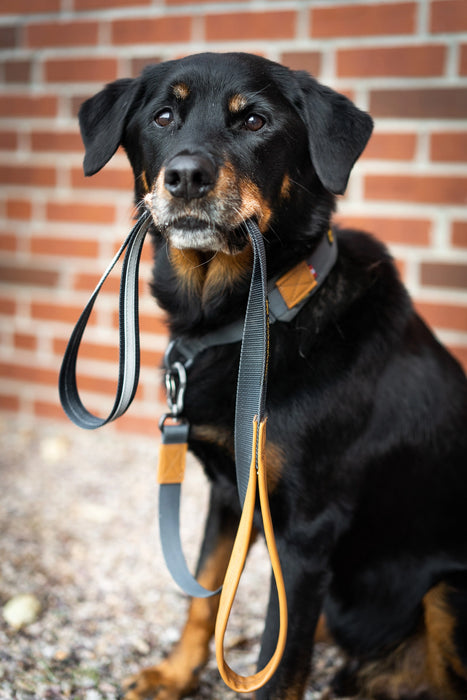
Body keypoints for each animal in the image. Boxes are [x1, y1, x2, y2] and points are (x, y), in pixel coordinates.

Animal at [78, 52, 467, 696]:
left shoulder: (306, 531)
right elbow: (203, 598)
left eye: (255, 121)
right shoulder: (228, 492)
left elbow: (280, 661)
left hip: (448, 589)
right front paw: (176, 674)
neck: (245, 318)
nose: (185, 177)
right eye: (163, 116)